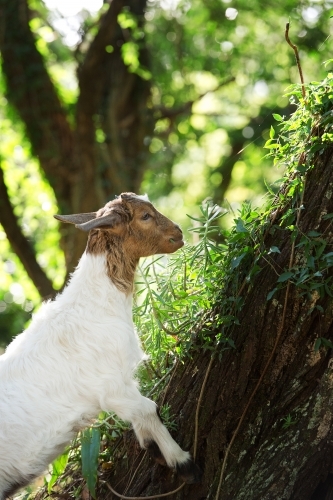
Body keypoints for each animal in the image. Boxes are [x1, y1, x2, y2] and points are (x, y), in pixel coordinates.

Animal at [0, 192, 200, 500]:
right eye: (145, 216)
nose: (178, 233)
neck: (95, 303)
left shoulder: (122, 385)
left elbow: (144, 413)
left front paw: (152, 447)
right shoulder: (111, 387)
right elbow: (148, 409)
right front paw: (182, 463)